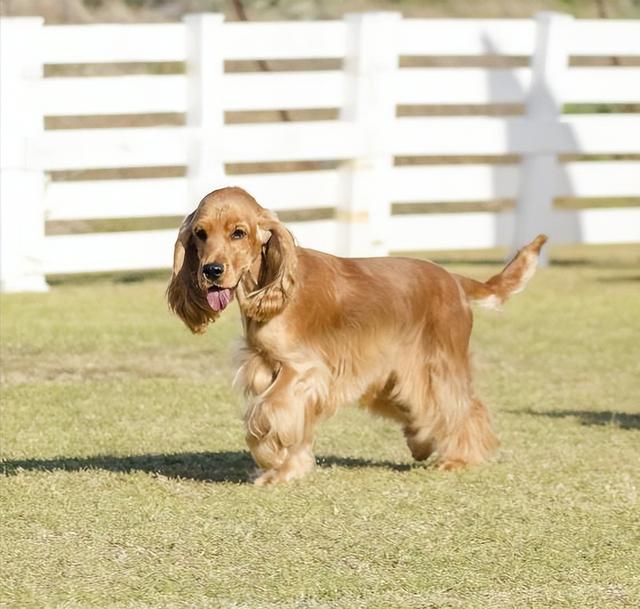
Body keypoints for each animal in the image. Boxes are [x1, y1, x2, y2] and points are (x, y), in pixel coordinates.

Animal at [168, 185, 548, 484]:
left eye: (239, 233)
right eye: (200, 233)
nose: (211, 271)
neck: (267, 283)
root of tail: (454, 279)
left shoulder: (303, 371)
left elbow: (264, 416)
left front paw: (272, 462)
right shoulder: (270, 368)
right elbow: (288, 424)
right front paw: (286, 469)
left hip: (440, 364)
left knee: (466, 408)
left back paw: (459, 458)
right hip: (394, 378)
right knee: (420, 411)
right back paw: (422, 442)